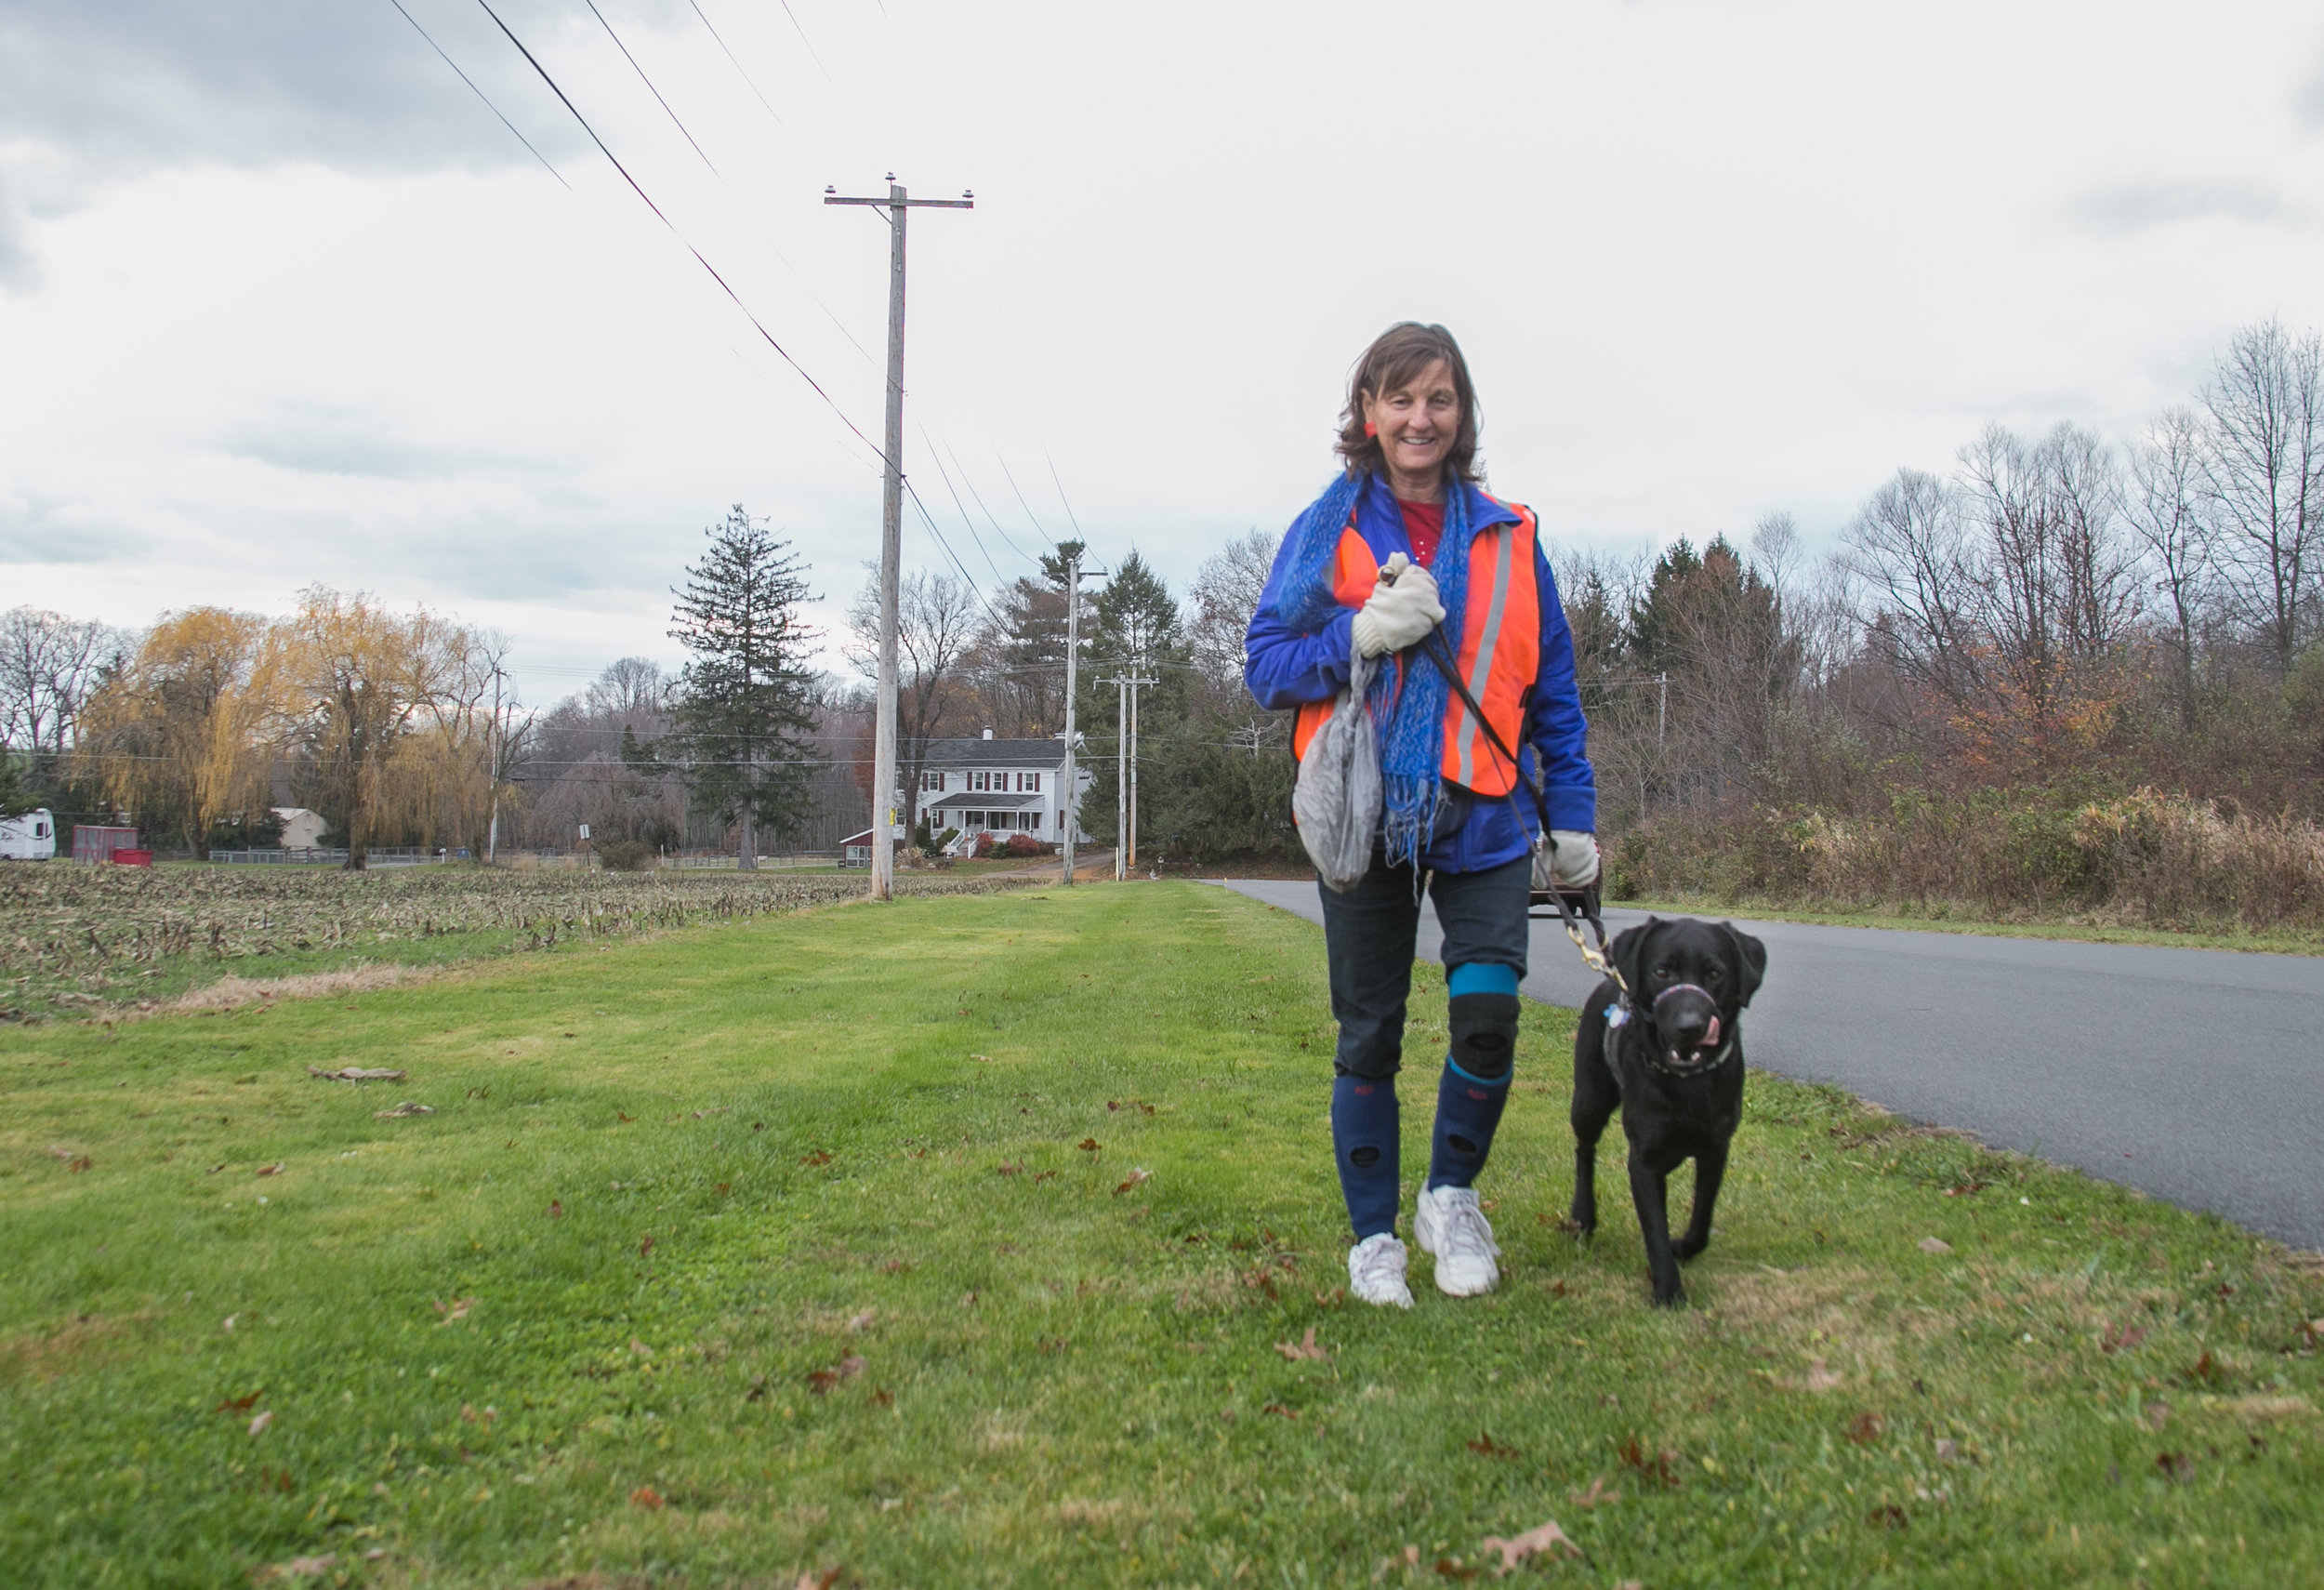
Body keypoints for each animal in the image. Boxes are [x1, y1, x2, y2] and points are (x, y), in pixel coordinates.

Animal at [1571, 921, 1766, 1302]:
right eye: (1661, 972)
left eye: (1715, 974)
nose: (1690, 1026)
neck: (1686, 1085)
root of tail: (1610, 978)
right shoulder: (1644, 1160)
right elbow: (1655, 1228)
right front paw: (1668, 1291)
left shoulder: (1715, 1150)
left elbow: (1702, 1217)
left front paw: (1684, 1249)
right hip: (1589, 1101)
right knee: (1585, 1149)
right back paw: (1583, 1214)